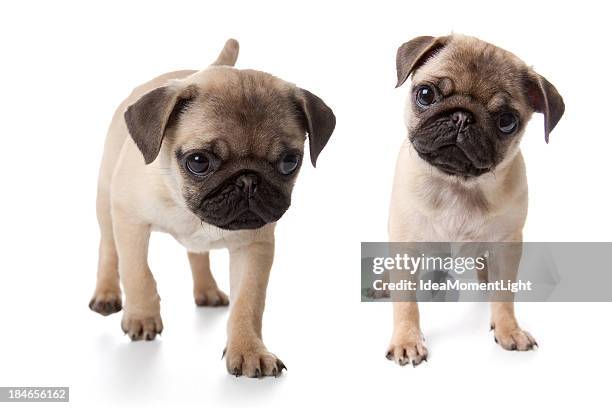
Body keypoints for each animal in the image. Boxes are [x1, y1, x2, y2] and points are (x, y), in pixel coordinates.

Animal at [88, 39, 334, 378]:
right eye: (198, 161)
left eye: (289, 162)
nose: (247, 181)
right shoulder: (130, 219)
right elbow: (137, 272)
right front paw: (141, 316)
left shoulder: (254, 247)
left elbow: (248, 301)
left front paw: (248, 350)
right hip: (105, 200)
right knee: (109, 250)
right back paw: (107, 294)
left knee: (197, 255)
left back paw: (208, 291)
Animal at [388, 35, 564, 364]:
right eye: (426, 95)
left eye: (507, 121)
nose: (461, 117)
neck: (458, 186)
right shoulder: (405, 245)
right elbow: (406, 303)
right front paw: (407, 339)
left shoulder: (508, 246)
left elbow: (505, 295)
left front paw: (509, 330)